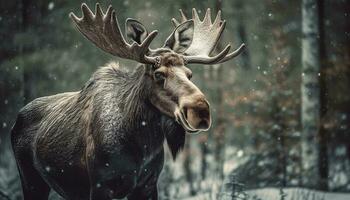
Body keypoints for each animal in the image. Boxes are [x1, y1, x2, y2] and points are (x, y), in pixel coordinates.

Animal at [10, 3, 245, 200]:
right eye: (158, 74)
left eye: (189, 74)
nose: (200, 111)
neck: (141, 144)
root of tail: (17, 117)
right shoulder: (101, 186)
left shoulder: (148, 185)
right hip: (31, 180)